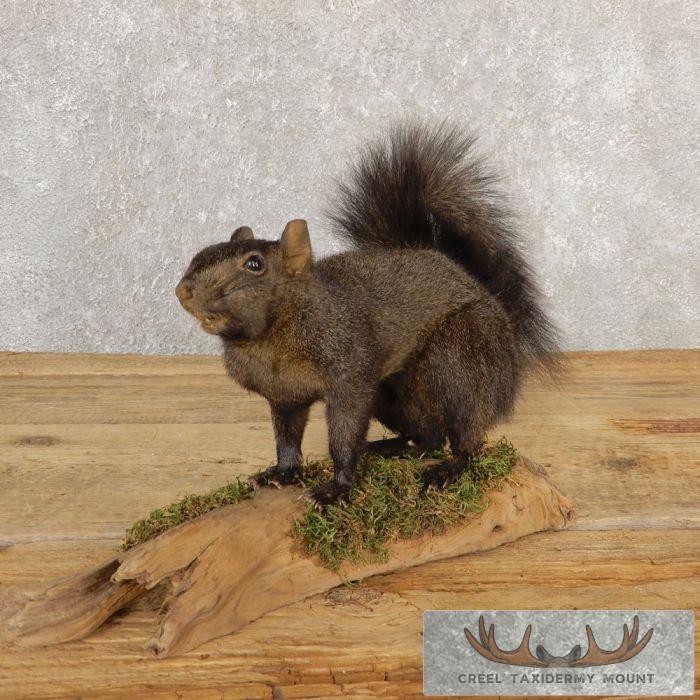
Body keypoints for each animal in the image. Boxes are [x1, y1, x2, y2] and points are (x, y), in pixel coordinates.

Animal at [175, 123, 560, 506]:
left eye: (254, 264)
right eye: (204, 251)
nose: (183, 290)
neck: (269, 339)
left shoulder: (350, 376)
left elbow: (343, 435)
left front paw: (337, 488)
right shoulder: (284, 396)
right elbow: (287, 438)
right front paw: (282, 473)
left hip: (460, 357)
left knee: (467, 433)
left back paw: (448, 470)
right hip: (393, 395)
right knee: (431, 435)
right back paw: (391, 448)